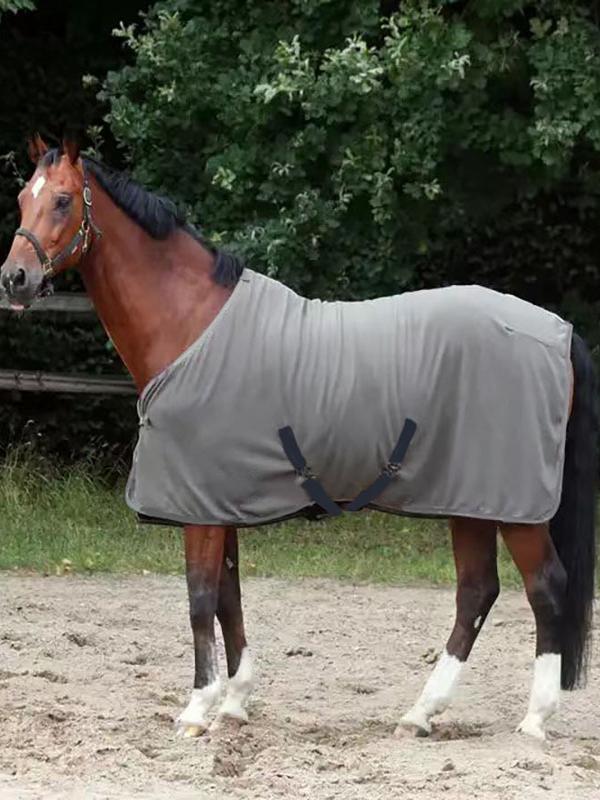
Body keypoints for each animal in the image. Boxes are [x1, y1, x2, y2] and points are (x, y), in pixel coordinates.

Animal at [0, 136, 596, 741]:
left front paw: (197, 710)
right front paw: (236, 702)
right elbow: (229, 597)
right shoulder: (217, 501)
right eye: (24, 197)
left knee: (545, 586)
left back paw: (534, 719)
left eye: (64, 200)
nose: (15, 278)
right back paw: (420, 713)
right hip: (470, 501)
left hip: (514, 508)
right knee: (477, 591)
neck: (191, 324)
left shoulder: (199, 507)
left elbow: (199, 596)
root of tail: (558, 332)